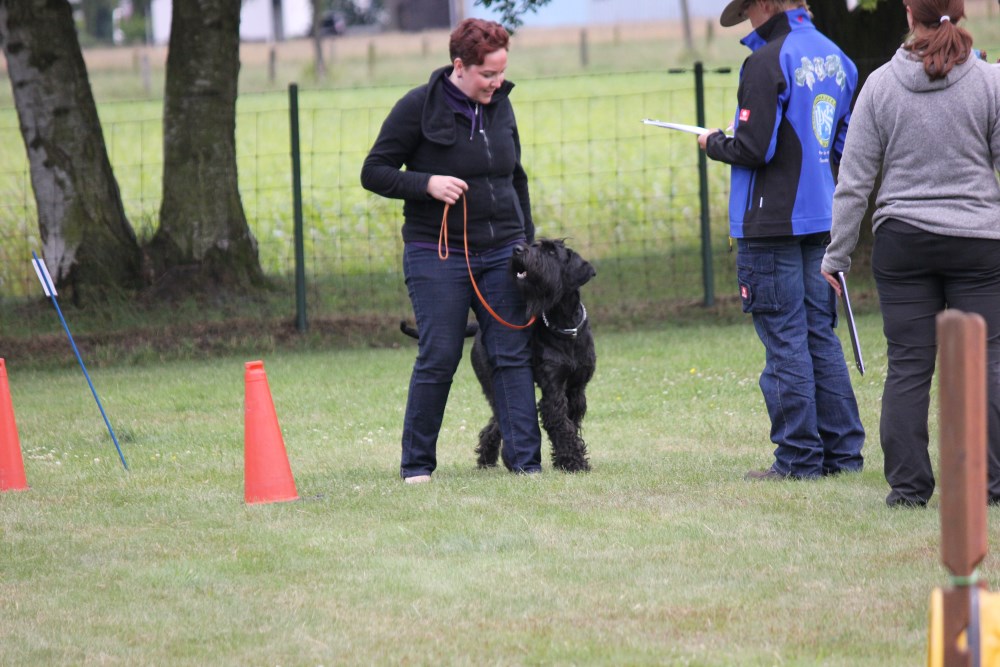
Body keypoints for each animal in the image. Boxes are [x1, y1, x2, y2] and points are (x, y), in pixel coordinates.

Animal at [402, 237, 596, 472]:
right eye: (536, 245)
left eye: (551, 252)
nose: (518, 249)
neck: (566, 325)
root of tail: (478, 328)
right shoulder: (553, 389)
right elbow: (562, 425)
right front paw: (574, 462)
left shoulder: (577, 389)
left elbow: (571, 424)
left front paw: (568, 460)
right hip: (491, 384)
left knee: (496, 422)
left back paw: (489, 460)